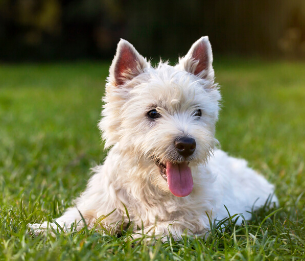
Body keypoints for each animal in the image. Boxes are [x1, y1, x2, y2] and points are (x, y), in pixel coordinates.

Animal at [29, 37, 276, 240]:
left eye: (198, 112)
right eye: (153, 113)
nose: (187, 144)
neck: (151, 187)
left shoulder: (202, 221)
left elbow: (166, 227)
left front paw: (132, 239)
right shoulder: (102, 205)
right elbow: (75, 218)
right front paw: (40, 229)